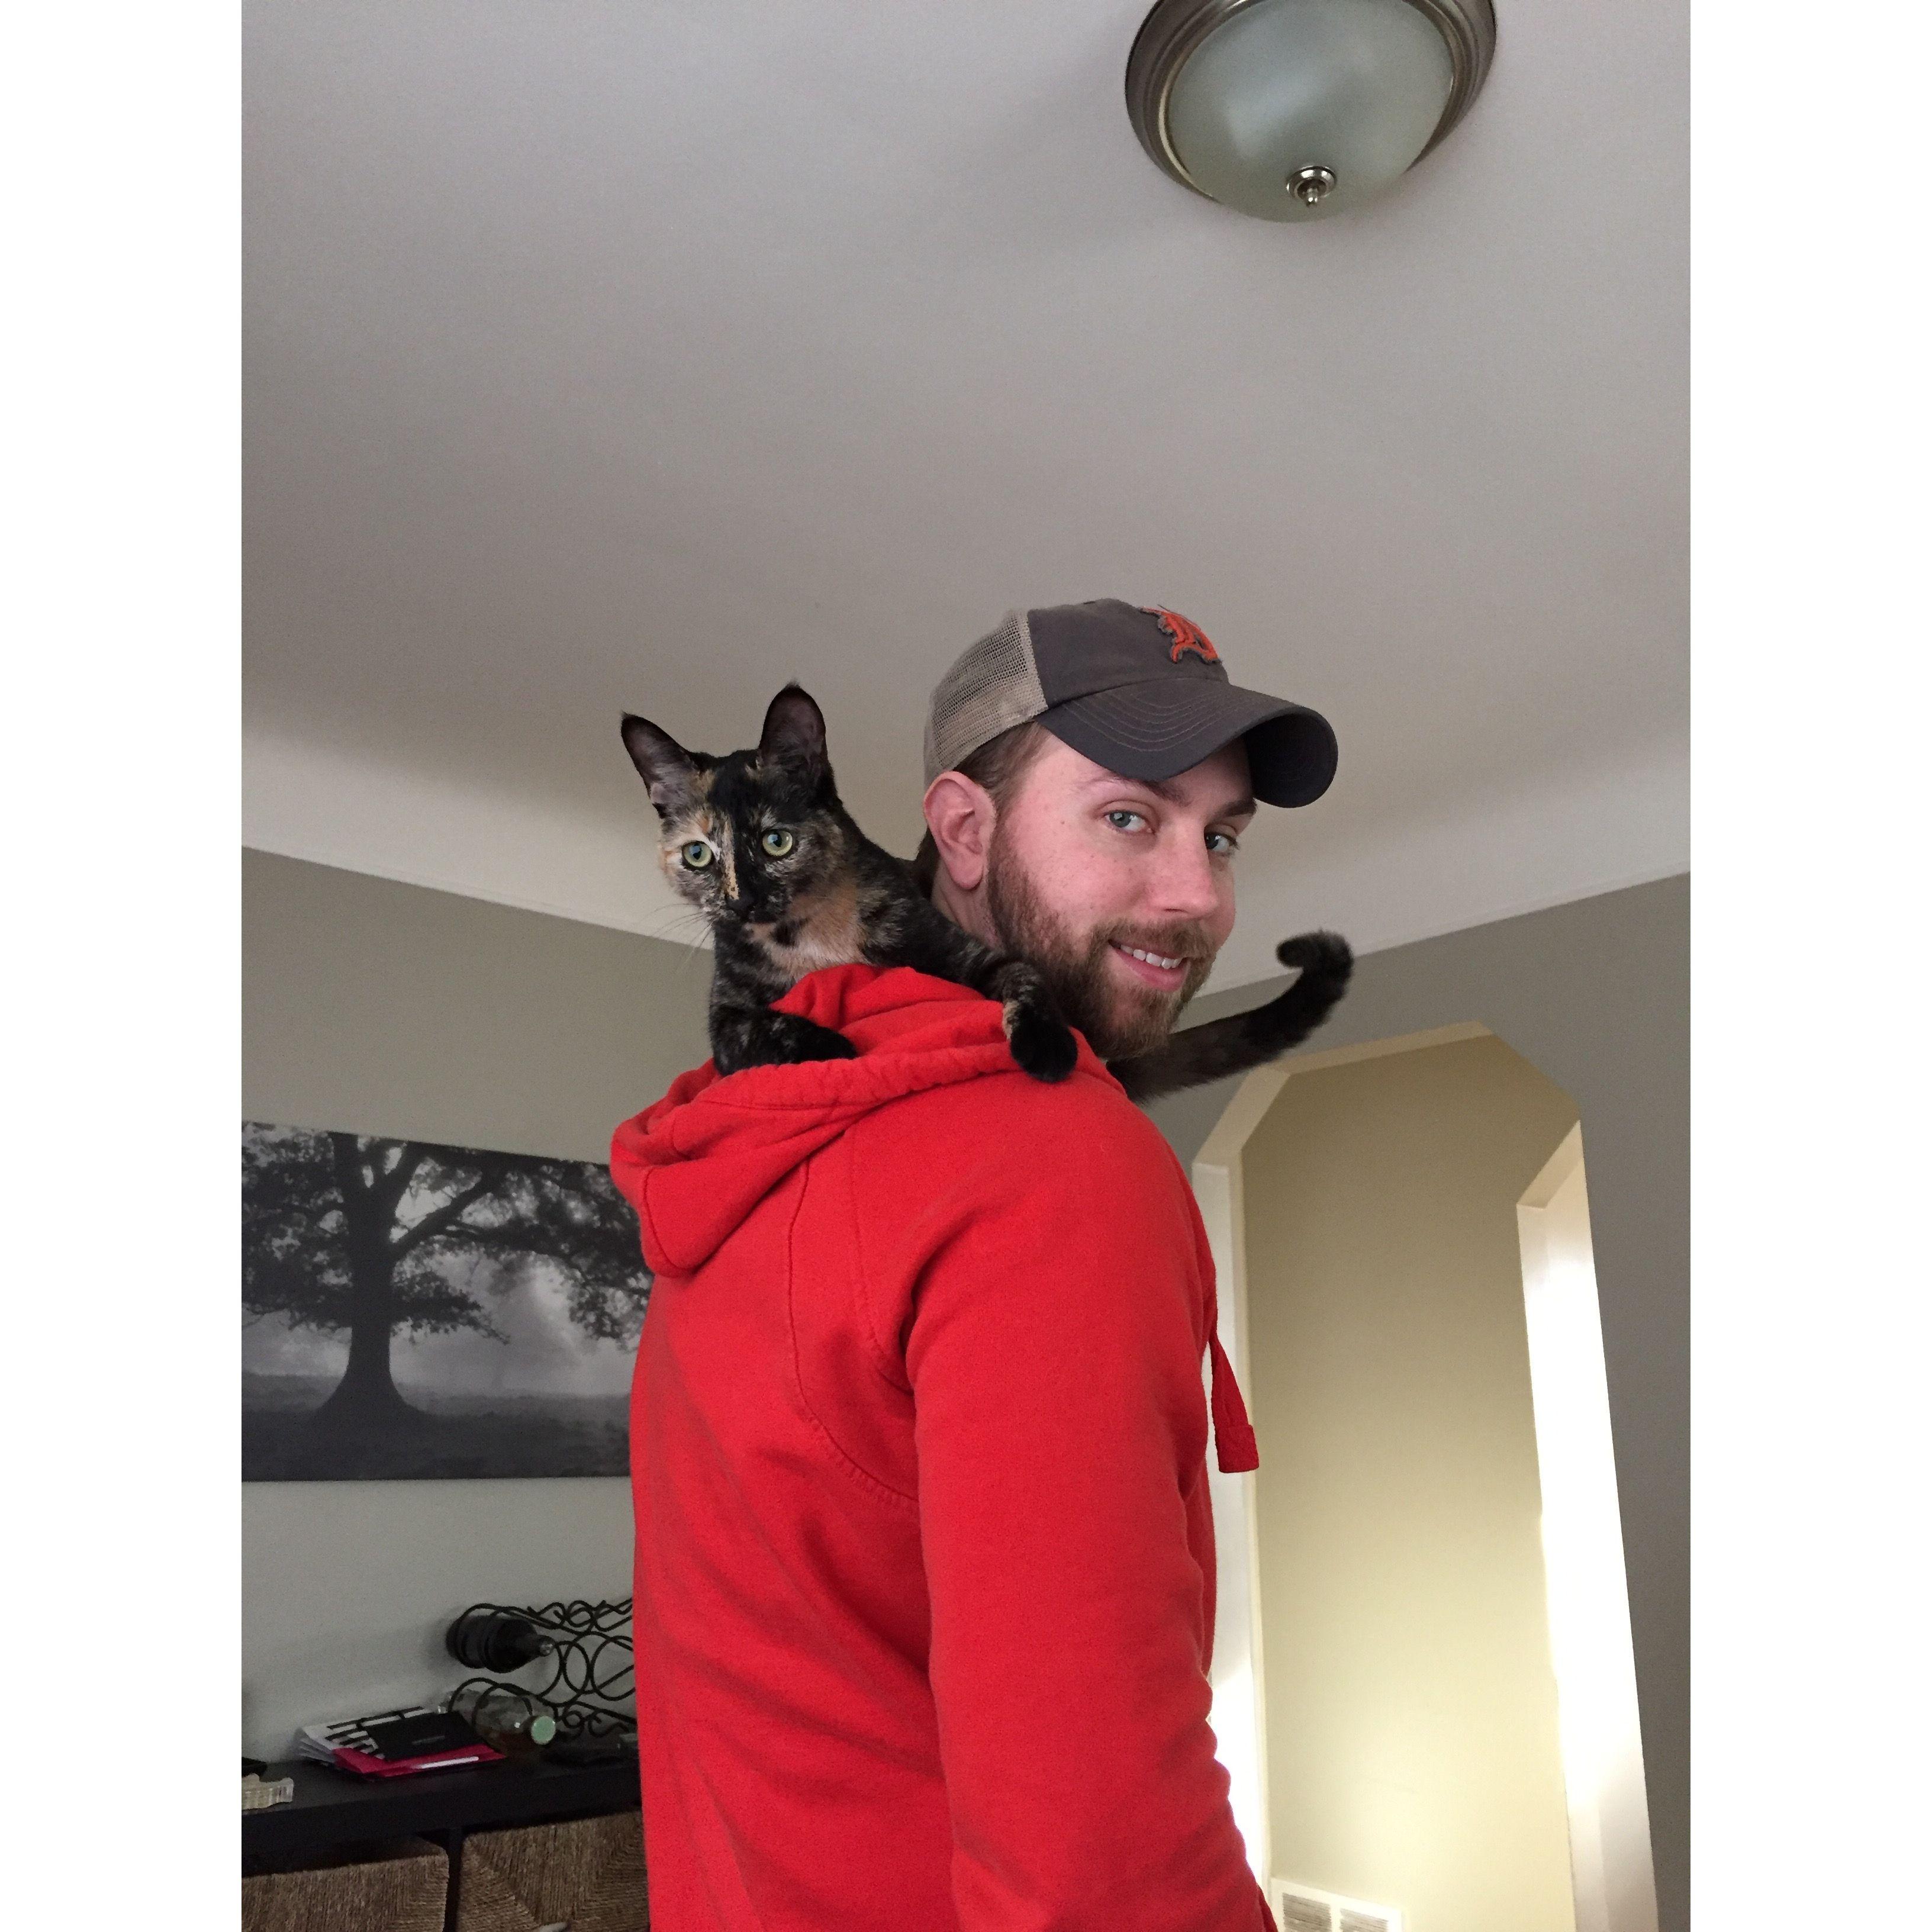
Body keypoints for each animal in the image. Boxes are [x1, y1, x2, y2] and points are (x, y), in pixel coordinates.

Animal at [620, 684, 1353, 1103]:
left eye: (776, 842)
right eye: (698, 855)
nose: (740, 902)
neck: (807, 937)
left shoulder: (962, 952)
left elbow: (1025, 977)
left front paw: (1047, 1047)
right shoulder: (726, 1017)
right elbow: (758, 1030)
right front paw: (828, 1049)